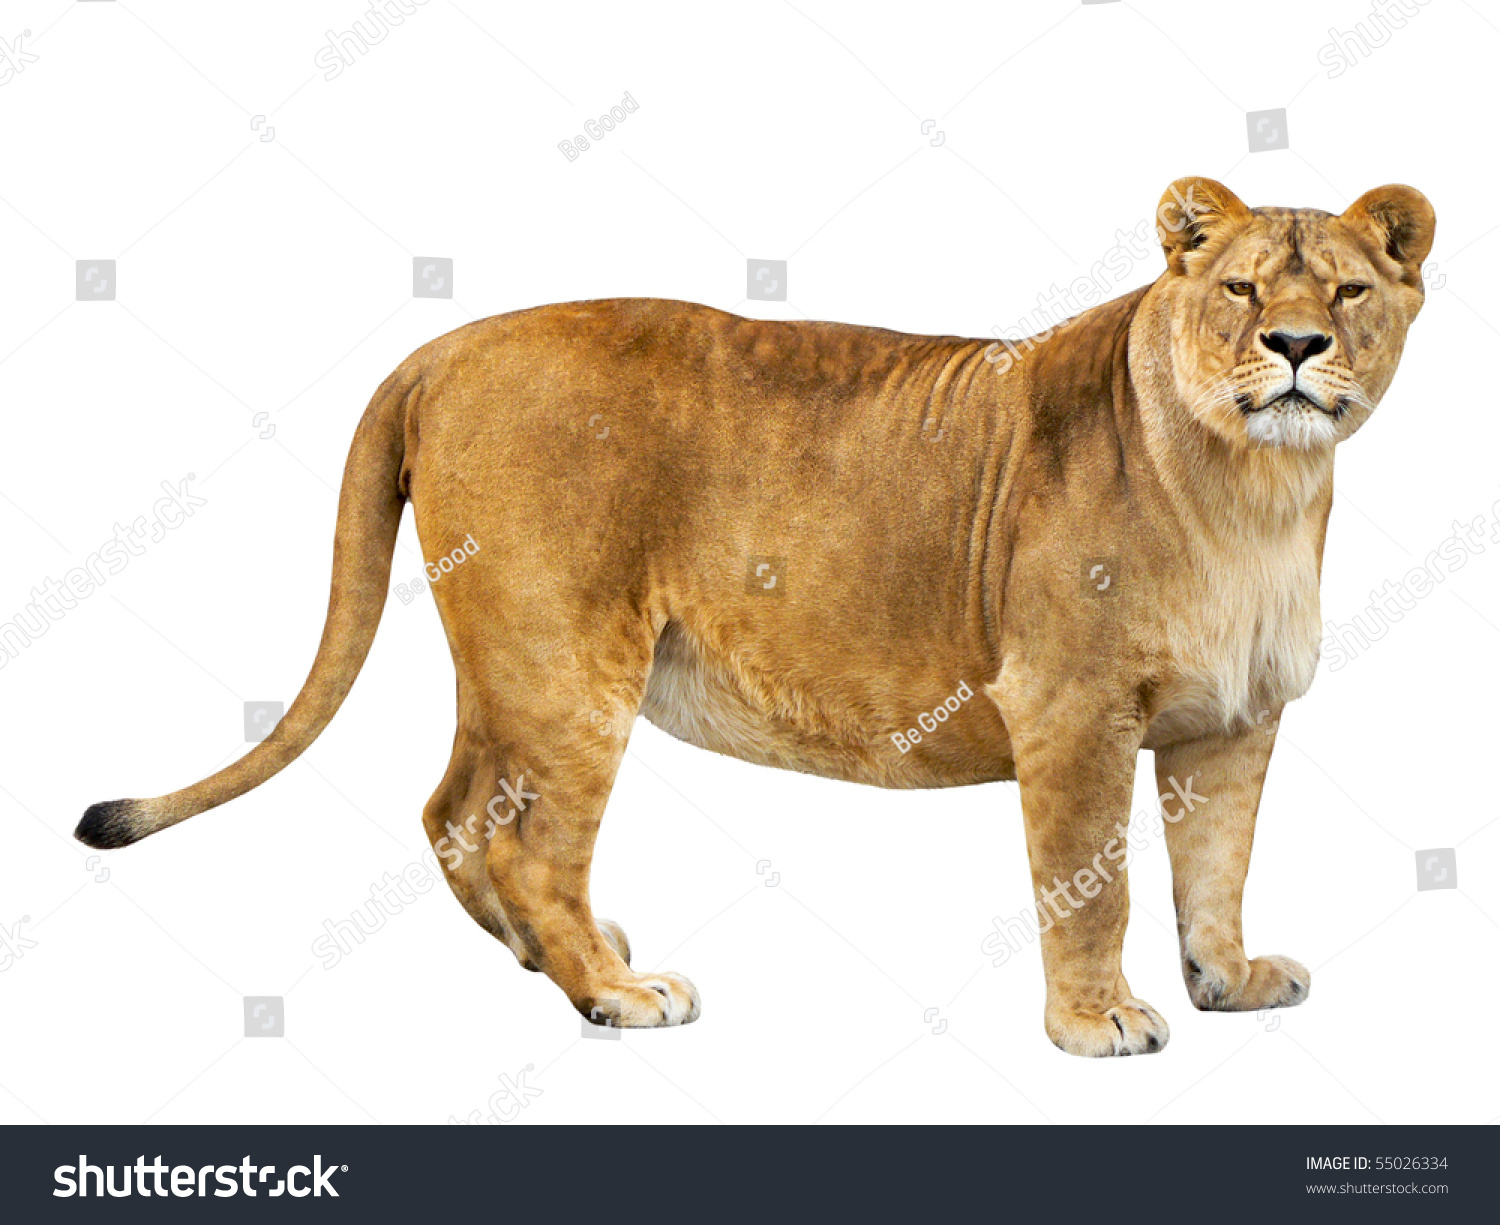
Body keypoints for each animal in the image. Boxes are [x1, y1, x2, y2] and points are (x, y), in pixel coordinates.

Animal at [77, 177, 1434, 1056]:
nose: (1297, 345)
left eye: (1350, 291)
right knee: (524, 839)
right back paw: (616, 995)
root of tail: (439, 350)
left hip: (507, 662)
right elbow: (1089, 879)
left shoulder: (1231, 722)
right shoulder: (1071, 708)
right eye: (1243, 287)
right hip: (571, 661)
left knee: (454, 809)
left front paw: (1230, 982)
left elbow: (1218, 866)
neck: (1256, 491)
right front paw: (1097, 1023)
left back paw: (558, 959)